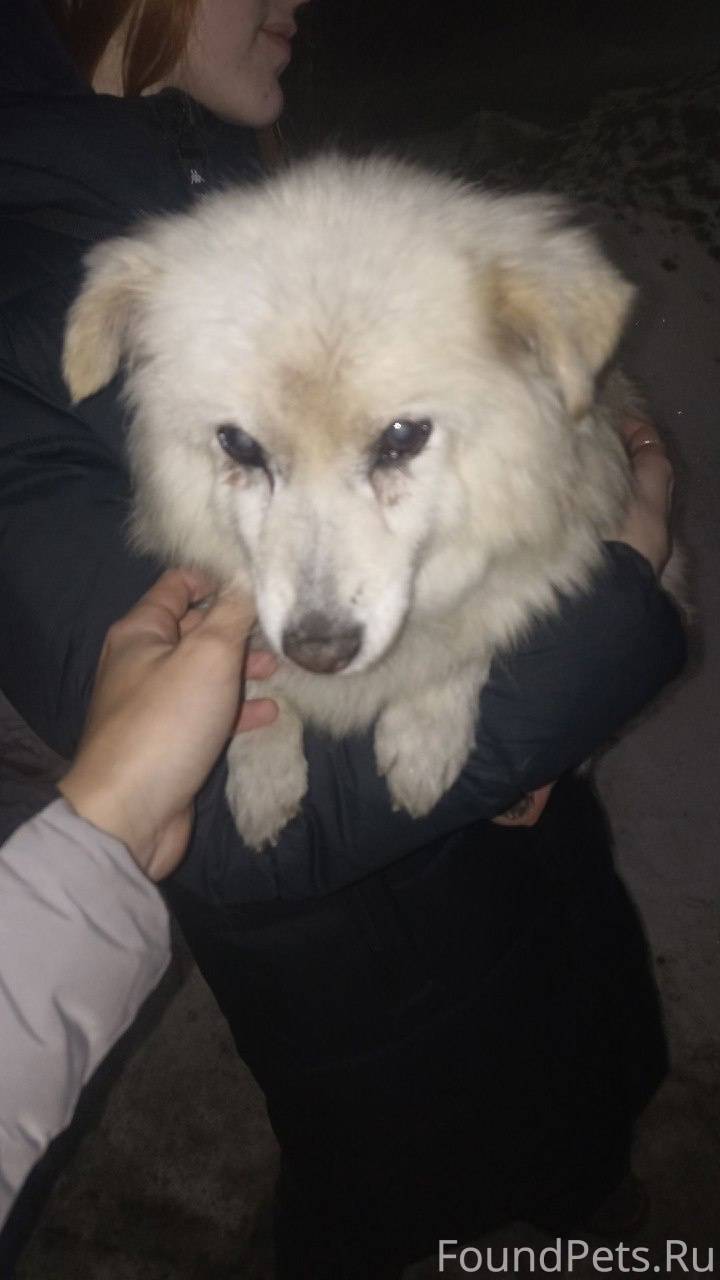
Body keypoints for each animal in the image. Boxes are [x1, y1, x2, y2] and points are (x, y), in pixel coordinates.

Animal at [64, 153, 649, 850]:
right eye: (239, 445)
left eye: (403, 437)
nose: (319, 651)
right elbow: (254, 684)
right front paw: (262, 773)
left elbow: (467, 632)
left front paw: (424, 739)